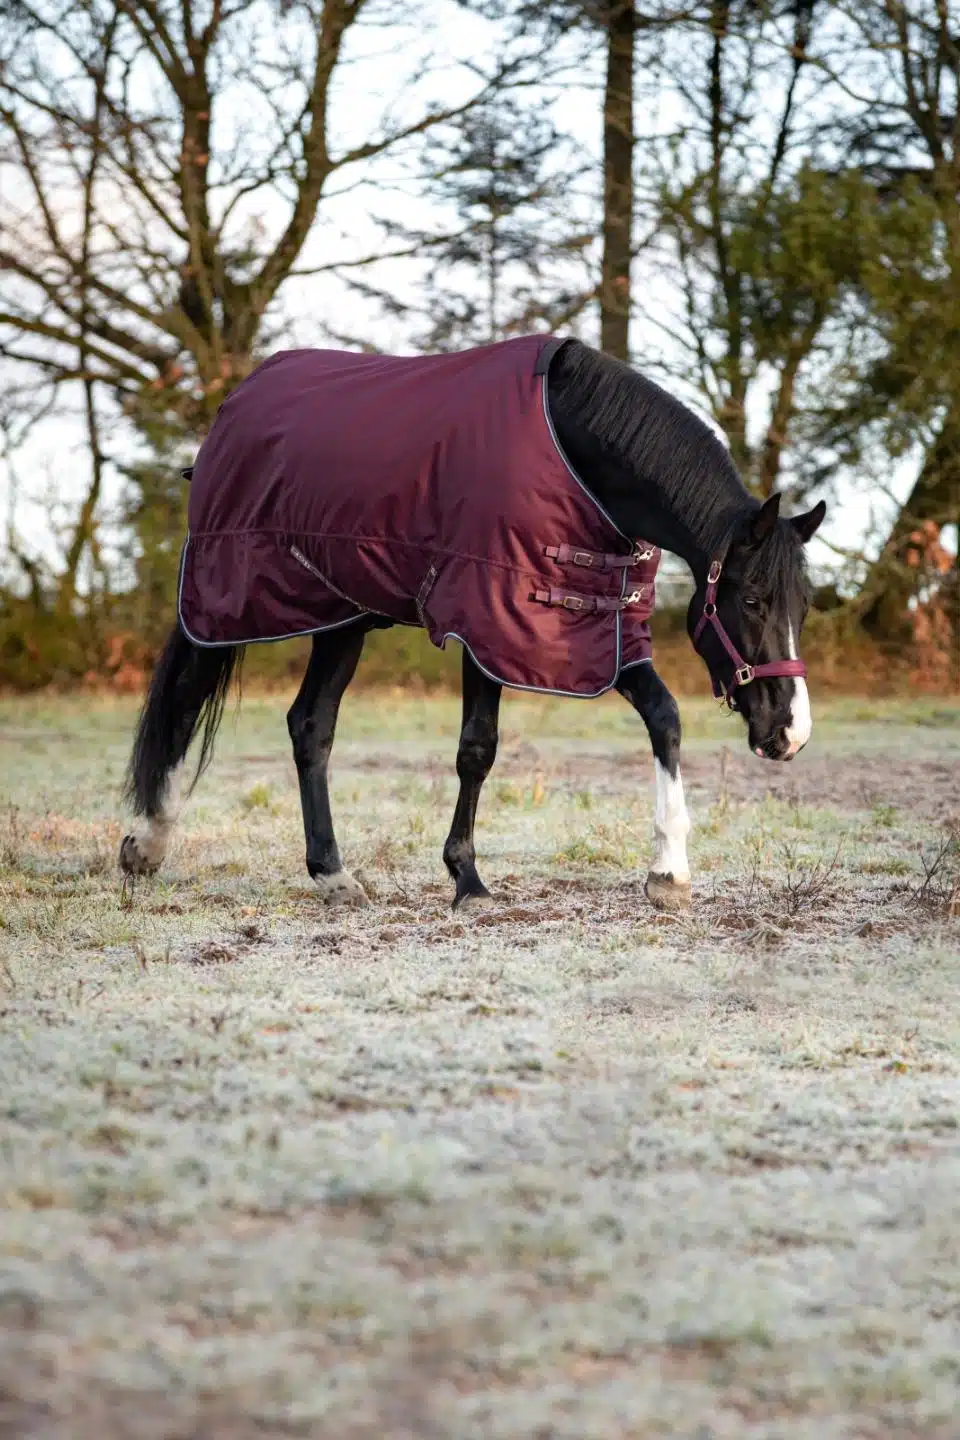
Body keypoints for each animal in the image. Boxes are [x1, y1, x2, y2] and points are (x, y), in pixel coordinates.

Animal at [119, 335, 825, 912]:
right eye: (753, 601)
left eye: (804, 605)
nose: (790, 733)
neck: (576, 454)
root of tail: (231, 412)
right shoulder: (486, 625)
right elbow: (477, 750)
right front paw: (468, 880)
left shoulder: (598, 629)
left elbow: (665, 718)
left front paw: (668, 873)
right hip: (229, 598)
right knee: (188, 701)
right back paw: (149, 842)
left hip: (342, 618)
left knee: (310, 726)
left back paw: (331, 874)